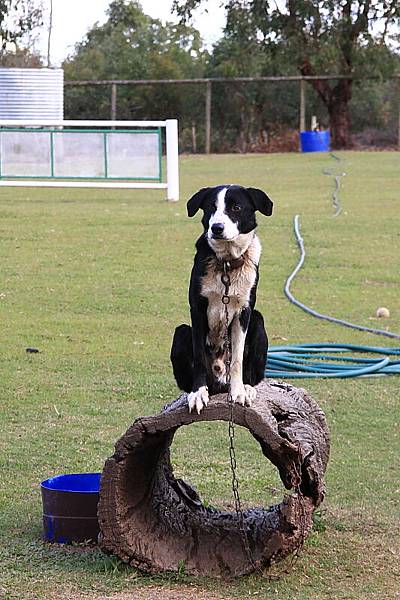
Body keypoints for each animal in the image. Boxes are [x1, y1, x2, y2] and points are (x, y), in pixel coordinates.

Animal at [170, 185, 274, 414]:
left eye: (236, 207)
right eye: (211, 207)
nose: (216, 228)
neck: (226, 264)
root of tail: (219, 380)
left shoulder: (244, 311)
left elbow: (237, 358)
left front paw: (239, 391)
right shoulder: (197, 309)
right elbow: (199, 355)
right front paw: (198, 393)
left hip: (258, 321)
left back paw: (247, 387)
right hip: (181, 332)